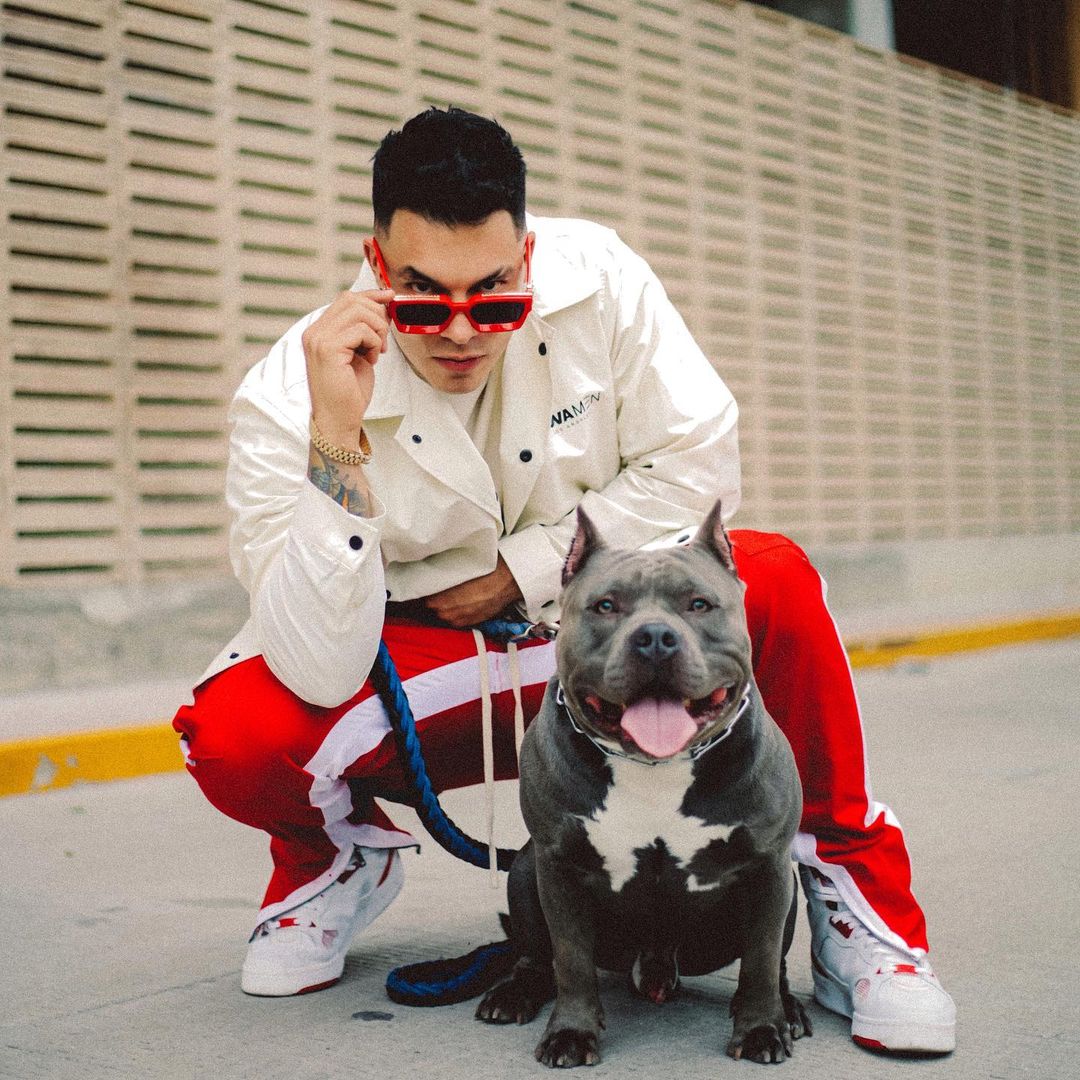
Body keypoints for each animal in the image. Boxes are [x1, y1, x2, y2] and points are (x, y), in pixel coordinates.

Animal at [476, 500, 811, 1065]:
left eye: (699, 604)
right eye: (606, 605)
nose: (655, 637)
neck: (656, 766)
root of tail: (655, 967)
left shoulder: (768, 868)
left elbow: (762, 959)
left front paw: (762, 1027)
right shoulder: (559, 868)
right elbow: (571, 960)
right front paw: (570, 1032)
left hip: (786, 885)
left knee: (776, 961)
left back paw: (789, 1010)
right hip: (523, 870)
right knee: (536, 955)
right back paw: (514, 992)